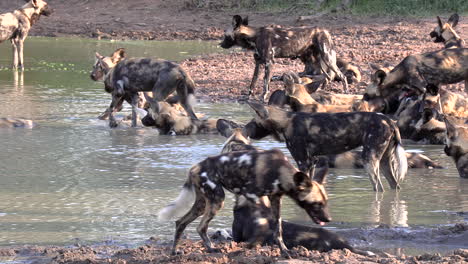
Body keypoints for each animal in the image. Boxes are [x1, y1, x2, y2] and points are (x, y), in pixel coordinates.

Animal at [159, 148, 330, 254]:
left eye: (325, 203)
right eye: (317, 204)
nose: (328, 219)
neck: (280, 172)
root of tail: (194, 167)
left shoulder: (275, 200)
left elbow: (278, 229)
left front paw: (284, 251)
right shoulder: (251, 194)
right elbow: (264, 223)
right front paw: (253, 244)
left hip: (202, 204)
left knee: (180, 222)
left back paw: (174, 252)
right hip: (217, 200)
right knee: (201, 227)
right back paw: (212, 249)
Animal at [220, 14, 348, 101]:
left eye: (225, 36)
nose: (220, 44)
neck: (254, 36)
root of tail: (325, 30)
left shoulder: (269, 62)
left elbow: (265, 82)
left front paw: (263, 96)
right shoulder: (258, 63)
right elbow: (253, 81)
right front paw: (249, 96)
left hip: (327, 59)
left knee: (341, 76)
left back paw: (346, 91)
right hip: (317, 61)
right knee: (325, 77)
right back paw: (321, 89)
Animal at [245, 101, 406, 192]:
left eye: (254, 121)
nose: (245, 128)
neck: (286, 122)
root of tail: (389, 120)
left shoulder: (303, 162)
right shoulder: (311, 162)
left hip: (369, 160)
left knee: (378, 187)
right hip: (384, 161)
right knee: (394, 185)